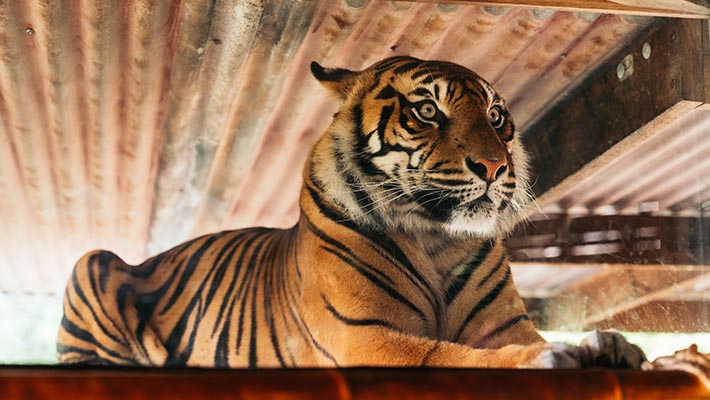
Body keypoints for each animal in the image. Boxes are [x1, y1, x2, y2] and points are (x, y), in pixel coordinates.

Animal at [57, 56, 646, 368]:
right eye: (427, 110)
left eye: (496, 115)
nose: (495, 166)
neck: (437, 239)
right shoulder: (366, 335)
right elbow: (450, 356)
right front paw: (555, 358)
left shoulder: (506, 325)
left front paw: (608, 345)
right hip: (92, 261)